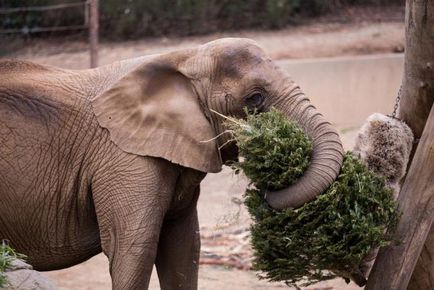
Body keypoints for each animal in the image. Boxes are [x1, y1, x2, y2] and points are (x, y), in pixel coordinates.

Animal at [0, 37, 342, 288]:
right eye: (255, 99)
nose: (261, 189)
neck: (185, 56)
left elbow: (183, 247)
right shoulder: (125, 159)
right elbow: (134, 250)